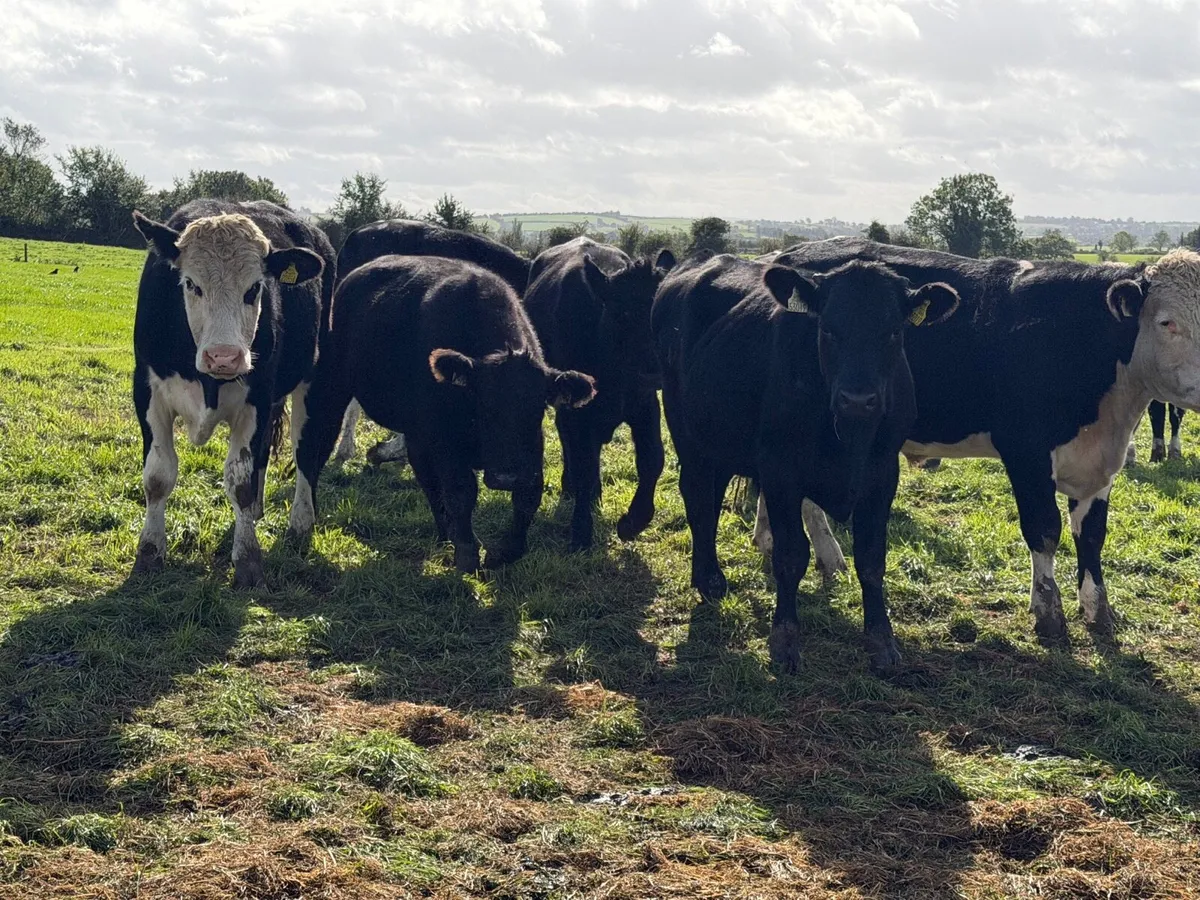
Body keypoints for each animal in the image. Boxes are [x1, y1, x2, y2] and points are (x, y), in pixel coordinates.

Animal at [129, 200, 333, 587]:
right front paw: (148, 554)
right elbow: (158, 477)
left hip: (311, 382)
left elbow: (240, 482)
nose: (223, 356)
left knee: (304, 451)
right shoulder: (148, 392)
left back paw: (300, 522)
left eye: (255, 288)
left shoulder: (257, 399)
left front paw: (249, 561)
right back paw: (258, 510)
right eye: (190, 284)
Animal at [287, 255, 596, 572]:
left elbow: (528, 494)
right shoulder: (446, 441)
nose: (505, 477)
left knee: (425, 477)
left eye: (538, 408)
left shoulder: (529, 449)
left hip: (414, 430)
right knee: (315, 450)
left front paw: (505, 551)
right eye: (482, 403)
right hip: (332, 387)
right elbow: (461, 492)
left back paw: (443, 531)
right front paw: (467, 552)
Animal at [522, 237, 676, 550]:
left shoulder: (644, 403)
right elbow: (583, 464)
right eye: (622, 313)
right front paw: (581, 533)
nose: (656, 370)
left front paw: (633, 521)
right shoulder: (578, 410)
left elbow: (653, 458)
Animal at [652, 251, 959, 672]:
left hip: (722, 439)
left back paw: (709, 578)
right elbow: (790, 555)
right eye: (827, 329)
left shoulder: (883, 474)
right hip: (686, 428)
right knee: (697, 500)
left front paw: (881, 640)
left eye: (893, 332)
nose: (857, 400)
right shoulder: (781, 471)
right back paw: (709, 578)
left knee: (711, 501)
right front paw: (784, 640)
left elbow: (872, 558)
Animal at [755, 237, 1200, 646]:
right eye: (1167, 322)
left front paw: (1098, 609)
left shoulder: (1101, 461)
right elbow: (1044, 529)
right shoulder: (1025, 450)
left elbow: (1091, 536)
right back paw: (827, 556)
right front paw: (1048, 612)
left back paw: (769, 540)